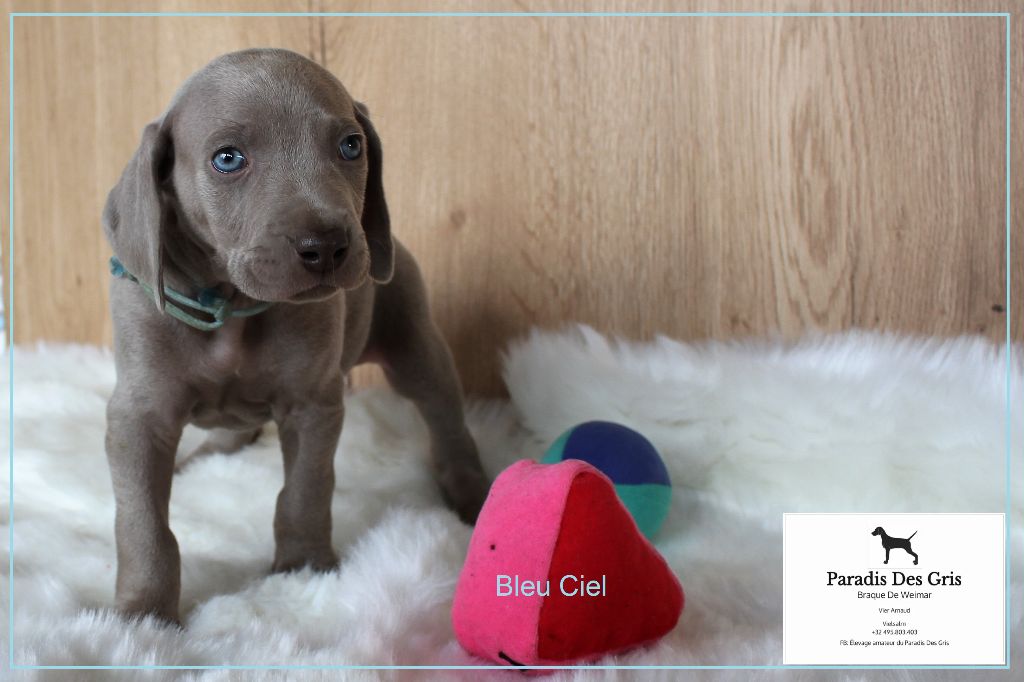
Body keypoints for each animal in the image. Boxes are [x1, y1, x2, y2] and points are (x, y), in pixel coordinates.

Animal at [102, 48, 490, 624]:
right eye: (228, 158)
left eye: (351, 145)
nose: (326, 246)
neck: (232, 305)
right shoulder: (138, 416)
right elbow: (143, 524)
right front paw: (143, 616)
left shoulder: (312, 404)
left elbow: (305, 489)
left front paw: (303, 568)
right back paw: (202, 458)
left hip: (415, 345)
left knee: (447, 424)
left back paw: (473, 494)